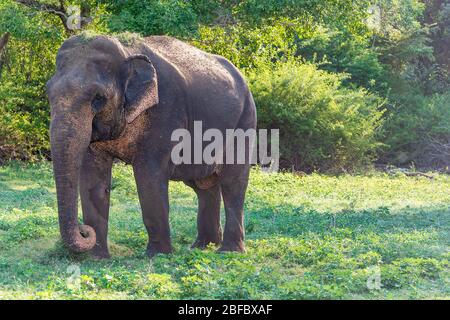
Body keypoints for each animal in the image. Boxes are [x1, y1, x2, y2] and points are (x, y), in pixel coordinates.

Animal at [46, 33, 256, 258]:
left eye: (98, 98)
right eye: (48, 94)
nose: (85, 231)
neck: (126, 53)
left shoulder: (165, 112)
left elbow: (149, 176)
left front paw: (158, 255)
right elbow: (93, 180)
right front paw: (97, 258)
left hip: (245, 120)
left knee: (233, 182)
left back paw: (229, 251)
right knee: (203, 185)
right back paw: (202, 246)